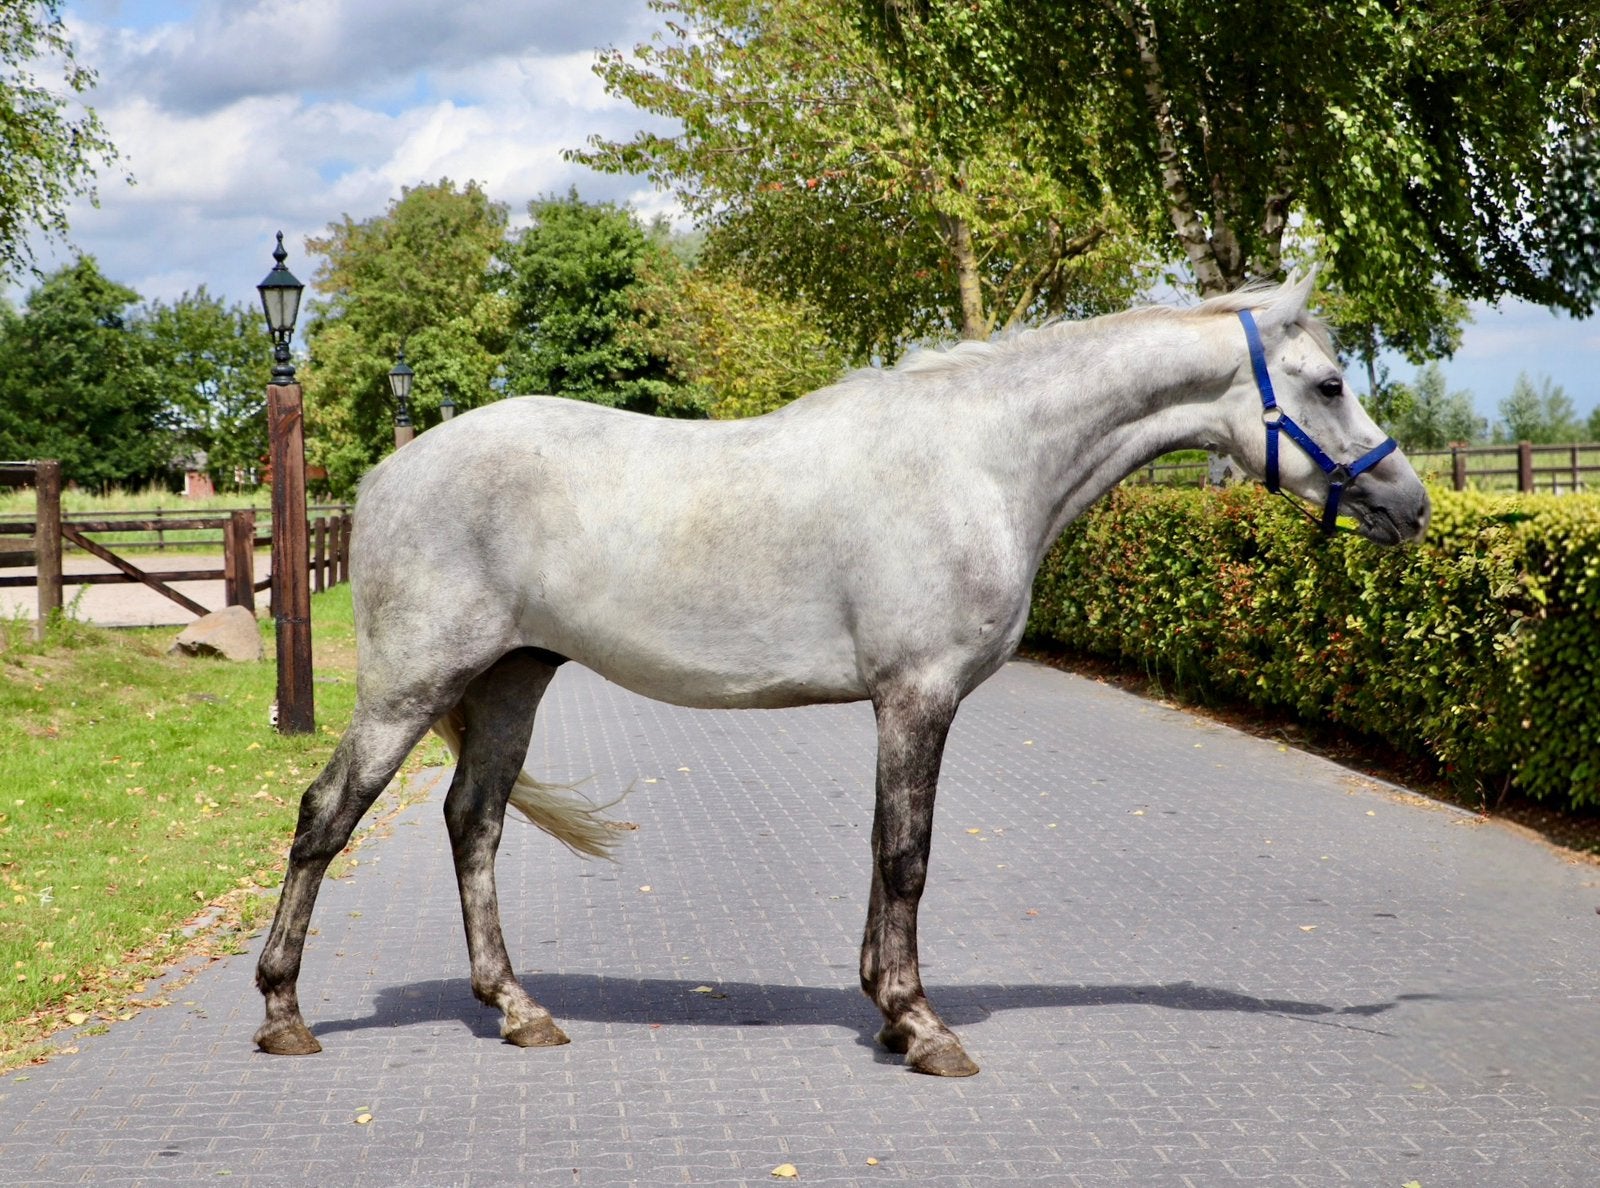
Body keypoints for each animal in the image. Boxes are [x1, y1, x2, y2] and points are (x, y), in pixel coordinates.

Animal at [252, 274, 1429, 1077]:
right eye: (1328, 384)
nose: (1410, 505)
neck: (977, 460)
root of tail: (391, 472)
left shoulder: (902, 702)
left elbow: (884, 849)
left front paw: (888, 1011)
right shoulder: (918, 693)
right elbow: (907, 855)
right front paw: (920, 1025)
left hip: (511, 679)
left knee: (475, 823)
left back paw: (518, 1009)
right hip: (414, 685)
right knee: (326, 814)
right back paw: (283, 1014)